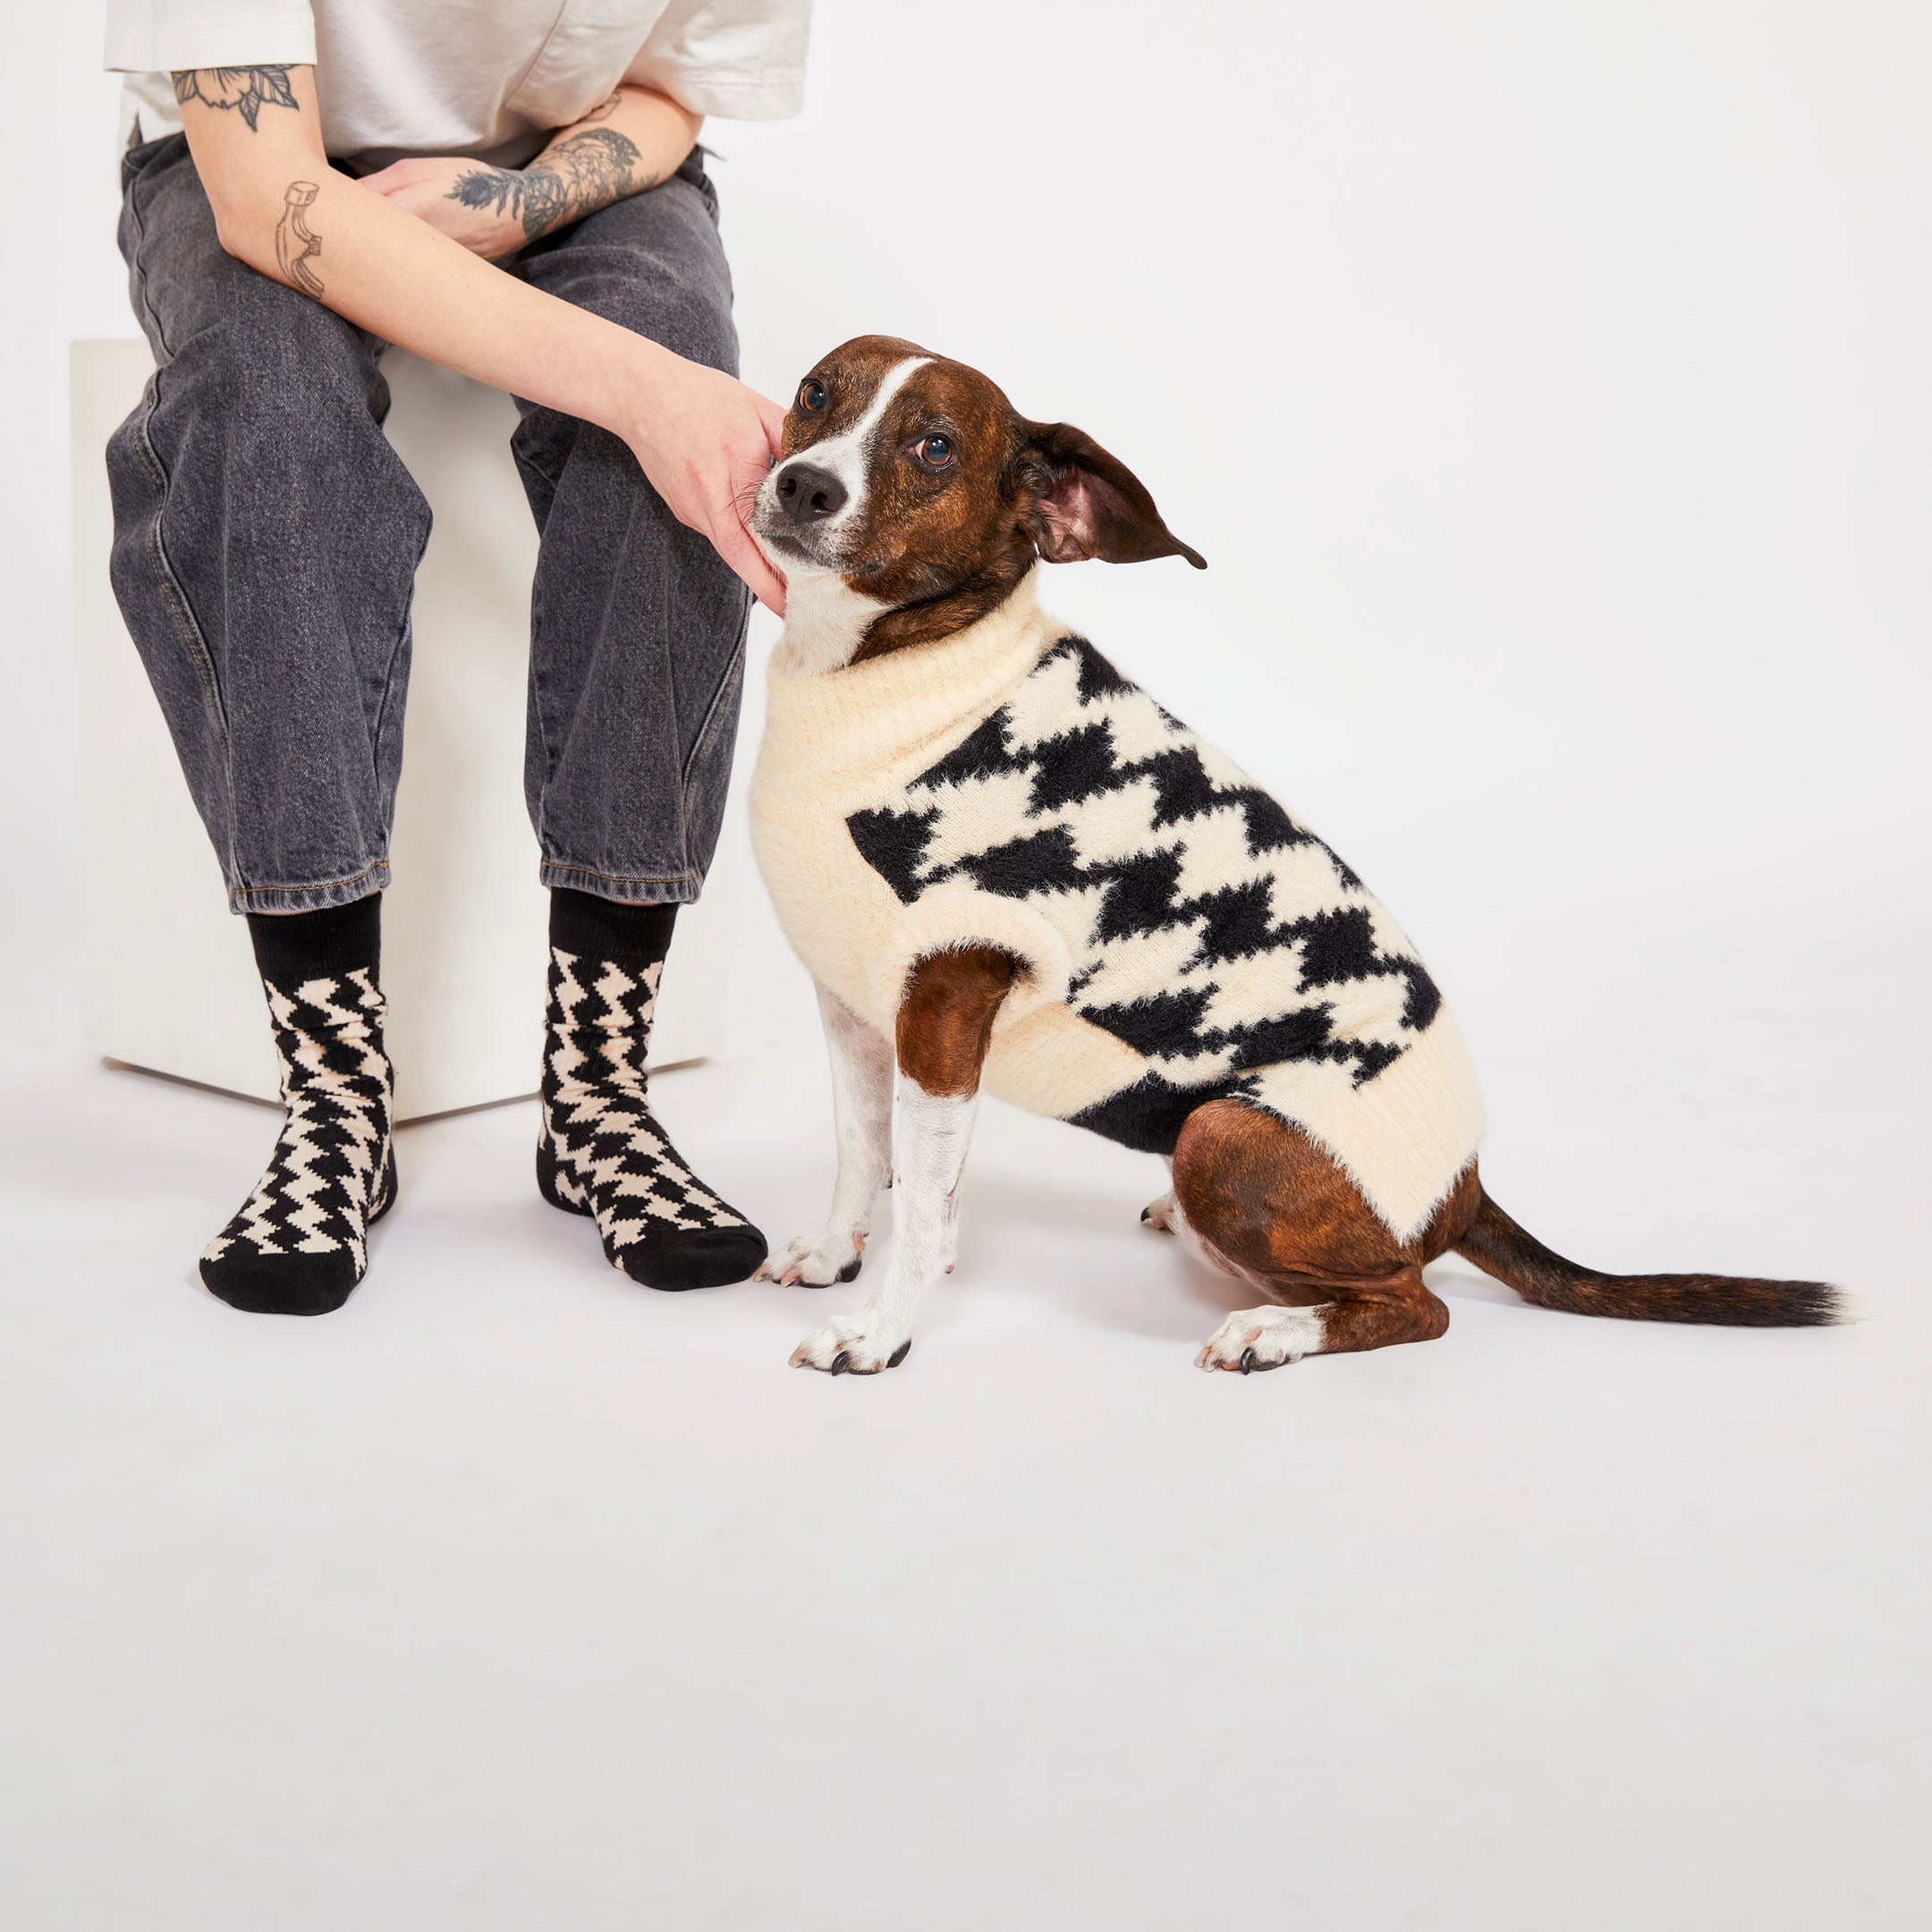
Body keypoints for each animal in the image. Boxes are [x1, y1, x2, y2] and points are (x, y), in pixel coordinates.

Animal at [741, 343, 1839, 1375]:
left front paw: (882, 1331)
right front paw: (837, 1252)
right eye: (815, 391)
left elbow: (924, 1208)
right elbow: (861, 1148)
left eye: (935, 447)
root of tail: (1465, 1188)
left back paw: (1273, 1333)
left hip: (1224, 1133)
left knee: (1414, 1303)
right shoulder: (856, 1009)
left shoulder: (943, 1006)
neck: (899, 675)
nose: (803, 486)